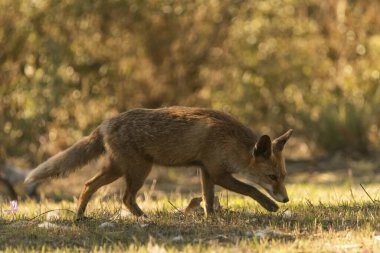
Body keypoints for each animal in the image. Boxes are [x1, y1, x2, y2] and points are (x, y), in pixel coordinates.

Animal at [25, 106, 292, 217]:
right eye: (272, 177)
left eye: (284, 176)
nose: (287, 199)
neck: (230, 139)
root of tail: (106, 123)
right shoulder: (218, 173)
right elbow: (250, 189)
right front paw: (270, 205)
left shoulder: (206, 171)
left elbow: (208, 200)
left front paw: (211, 218)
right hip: (138, 170)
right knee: (124, 198)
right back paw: (144, 218)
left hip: (118, 169)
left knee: (88, 185)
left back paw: (80, 216)